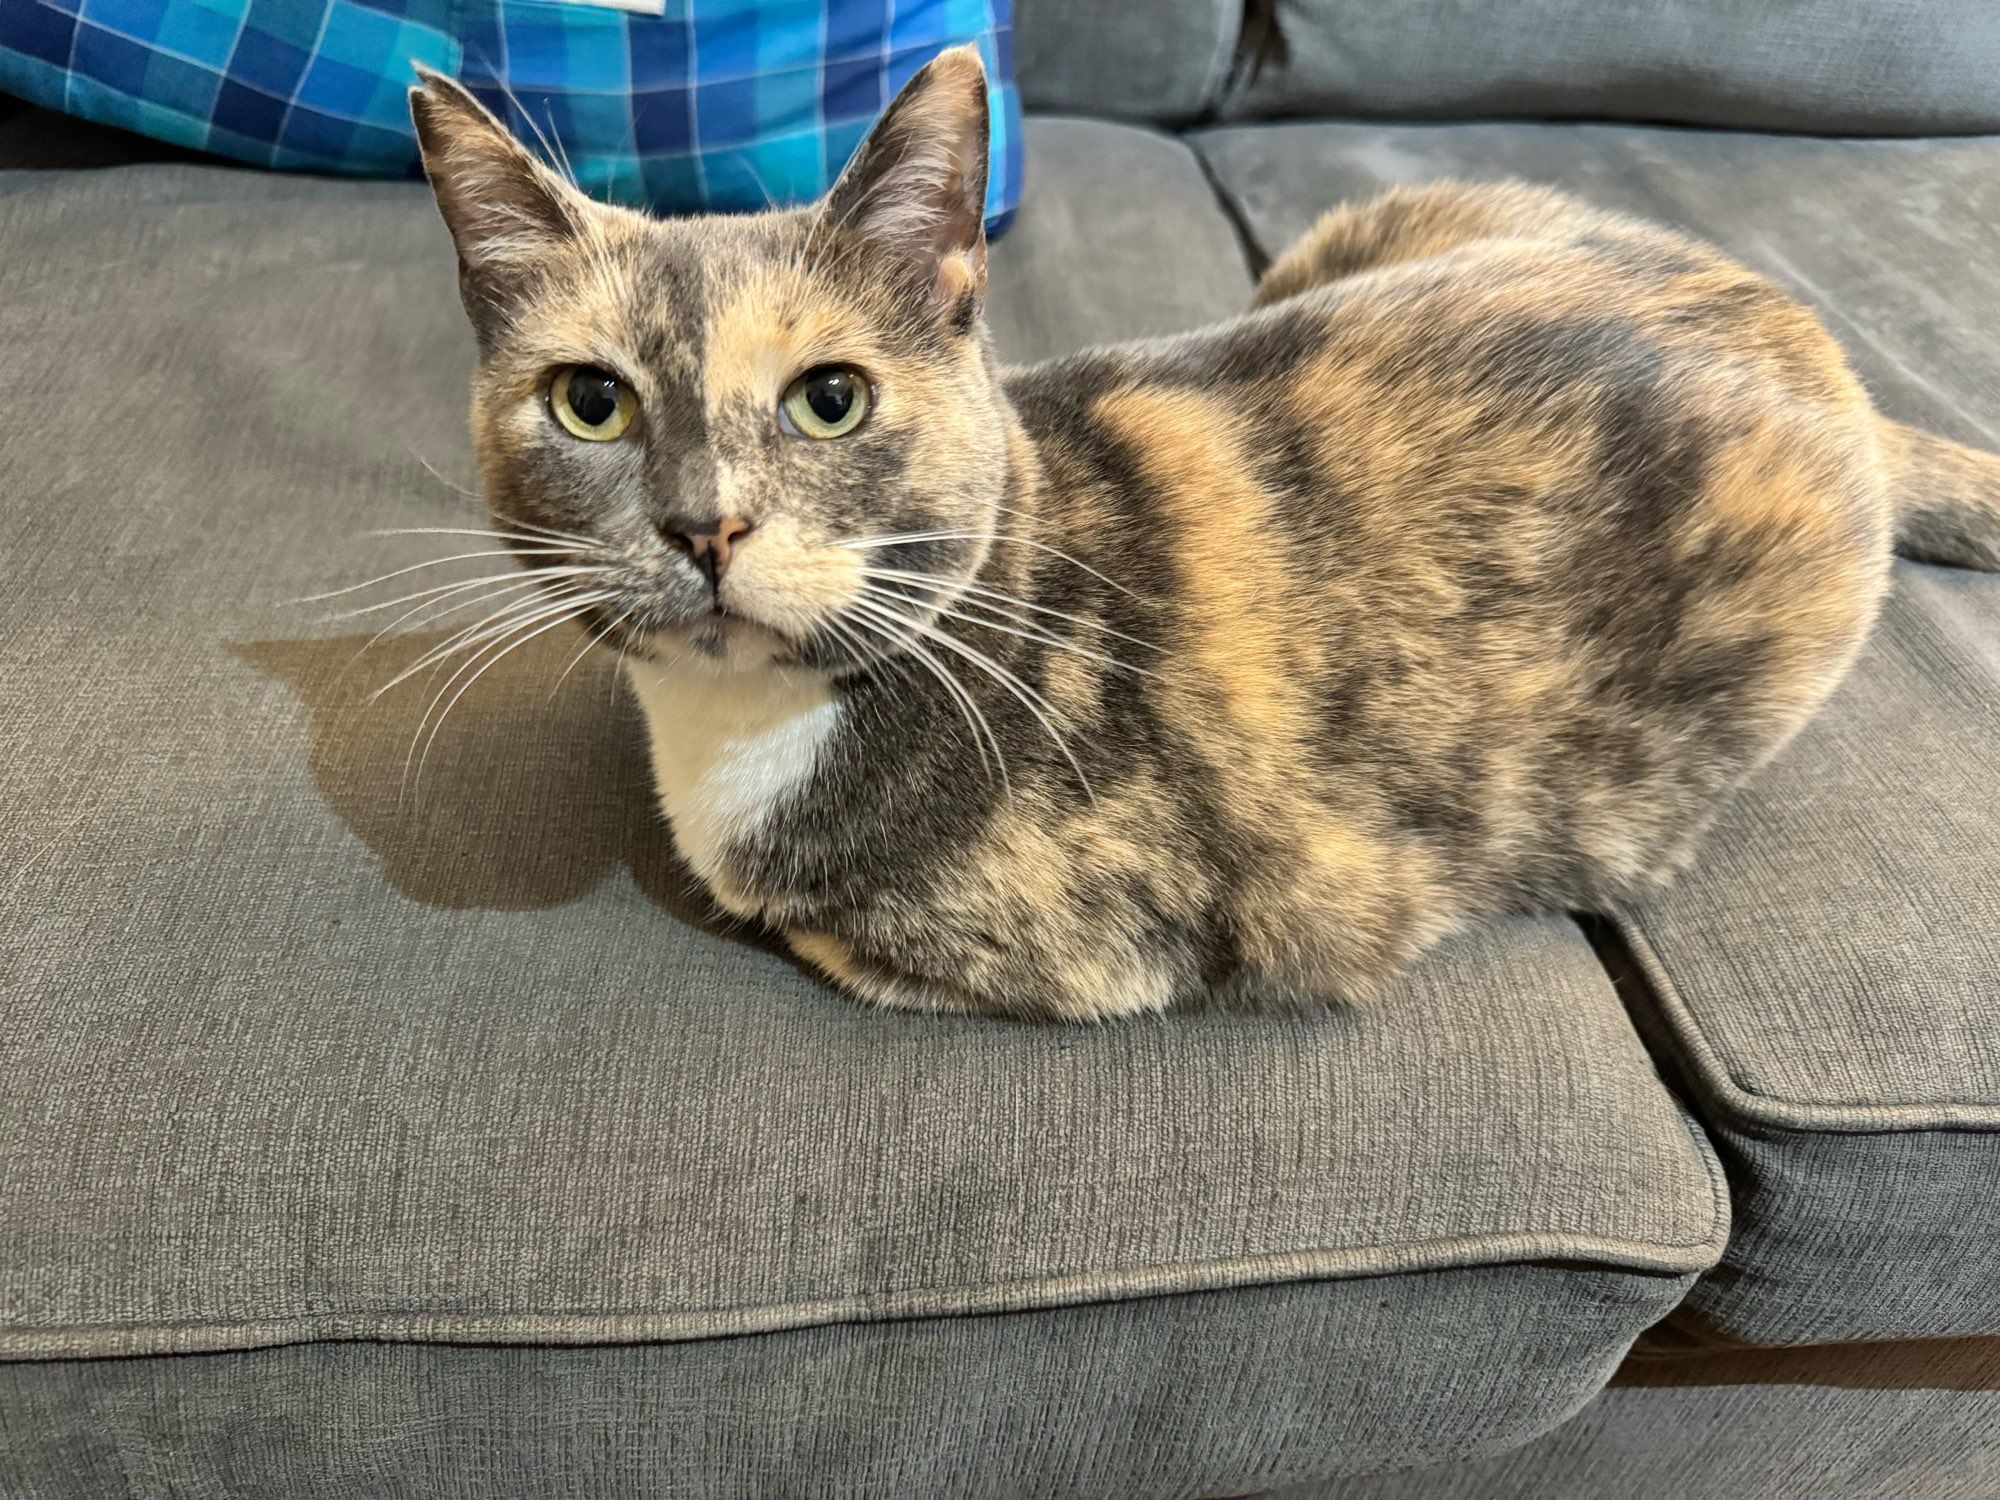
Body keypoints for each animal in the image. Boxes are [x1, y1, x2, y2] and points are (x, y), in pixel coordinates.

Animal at [406, 53, 2000, 1032]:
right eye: (592, 403)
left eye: (830, 399)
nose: (704, 523)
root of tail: (1791, 318)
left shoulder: (1101, 947)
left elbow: (822, 932)